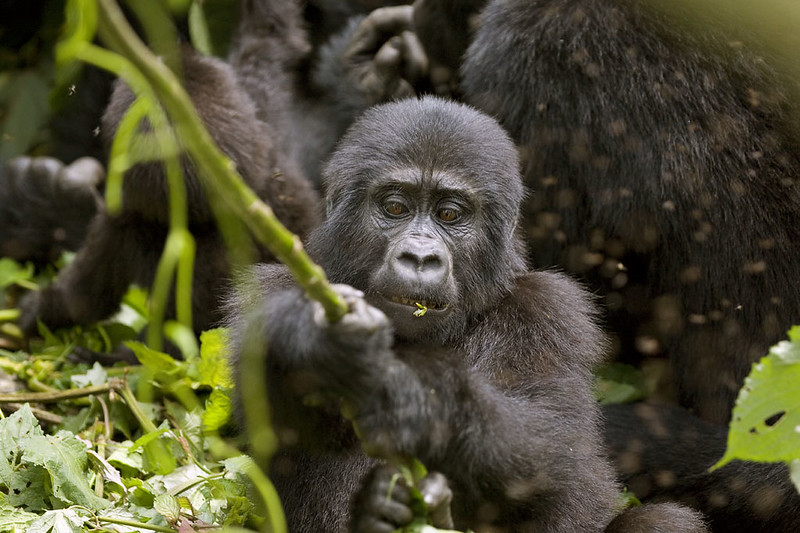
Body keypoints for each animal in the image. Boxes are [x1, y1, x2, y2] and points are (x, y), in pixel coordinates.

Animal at [227, 96, 708, 532]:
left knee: (662, 521)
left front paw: (424, 401)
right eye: (395, 207)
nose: (420, 258)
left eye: (449, 214)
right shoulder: (266, 294)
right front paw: (318, 342)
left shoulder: (549, 310)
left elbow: (549, 451)